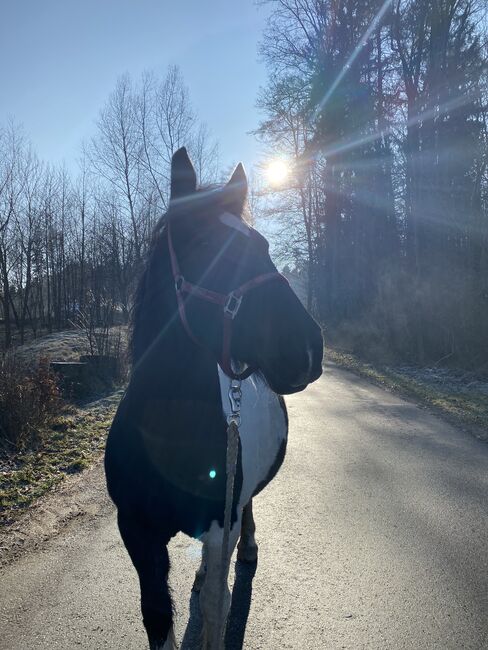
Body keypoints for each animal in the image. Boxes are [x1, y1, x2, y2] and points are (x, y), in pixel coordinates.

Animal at [104, 148, 324, 648]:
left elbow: (216, 609)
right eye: (206, 246)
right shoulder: (136, 531)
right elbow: (157, 614)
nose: (308, 348)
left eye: (264, 245)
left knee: (243, 519)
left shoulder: (222, 524)